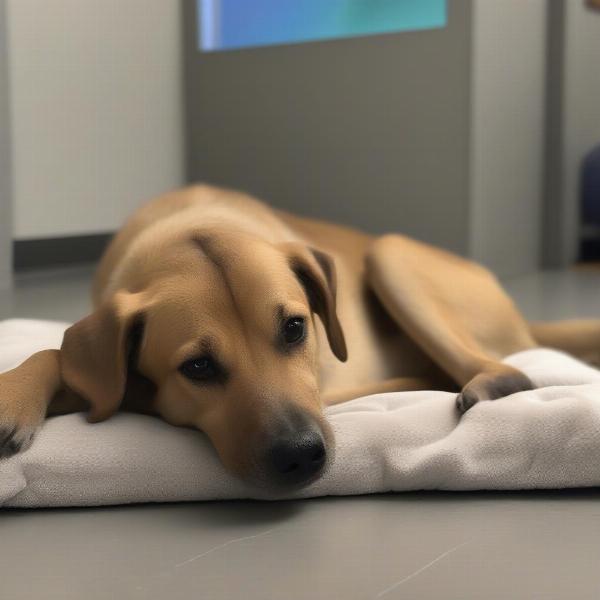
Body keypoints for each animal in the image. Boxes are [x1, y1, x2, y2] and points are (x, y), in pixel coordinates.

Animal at [1, 185, 600, 490]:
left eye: (294, 328)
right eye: (198, 367)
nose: (300, 456)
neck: (188, 226)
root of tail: (524, 320)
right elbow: (57, 352)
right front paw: (16, 394)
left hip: (390, 253)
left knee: (509, 373)